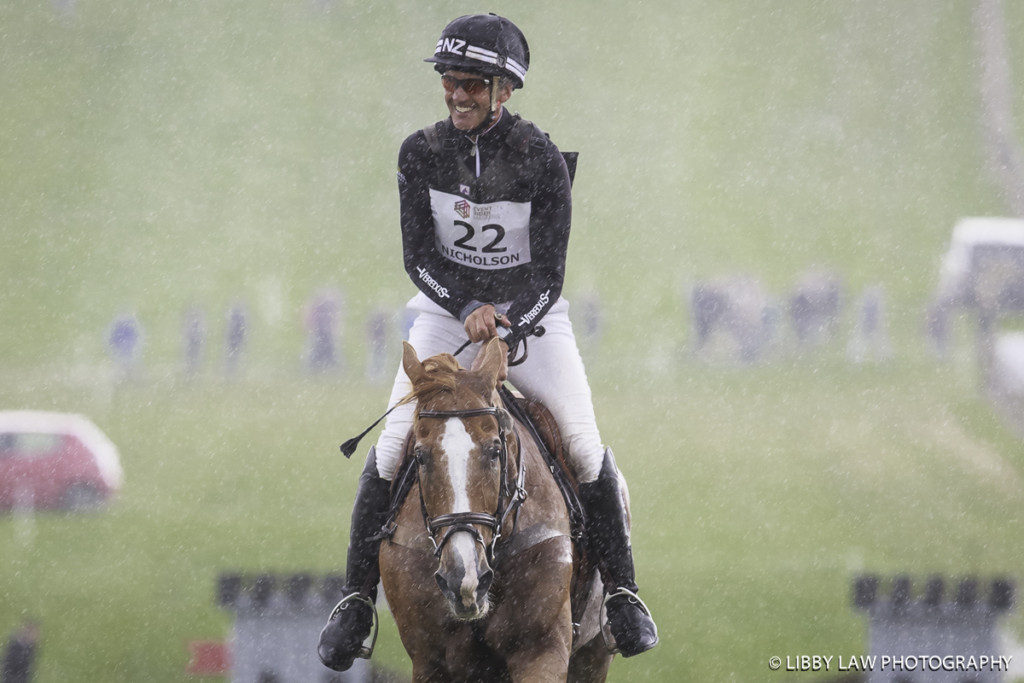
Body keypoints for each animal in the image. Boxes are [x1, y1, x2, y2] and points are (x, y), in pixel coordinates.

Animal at [380, 339, 610, 679]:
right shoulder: (429, 660)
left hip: (593, 655)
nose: (462, 578)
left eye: (495, 450)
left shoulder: (542, 650)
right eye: (420, 456)